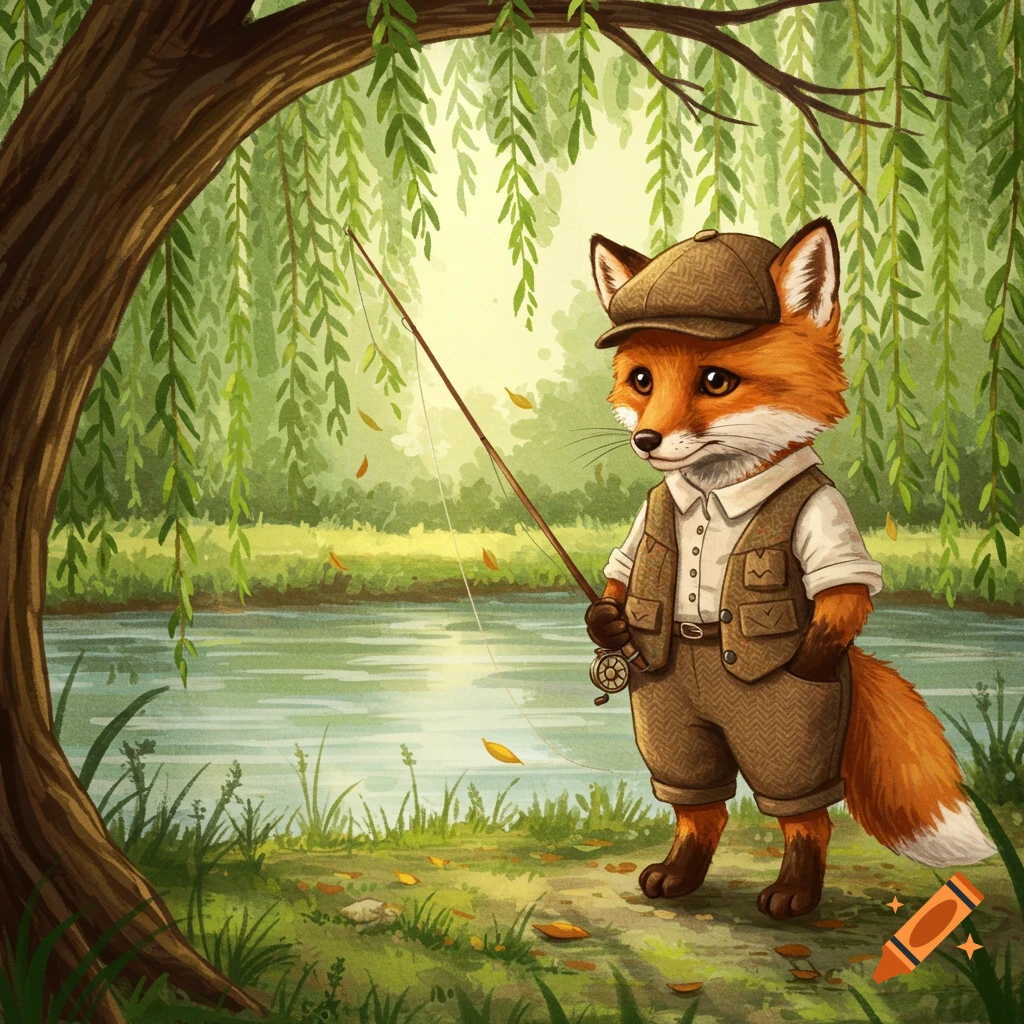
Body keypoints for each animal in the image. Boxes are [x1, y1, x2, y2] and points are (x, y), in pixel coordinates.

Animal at [586, 217, 995, 920]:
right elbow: (625, 571)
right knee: (701, 806)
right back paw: (679, 875)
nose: (646, 440)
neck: (714, 495)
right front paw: (606, 624)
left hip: (790, 739)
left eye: (715, 381)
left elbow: (842, 592)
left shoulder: (828, 527)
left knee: (806, 817)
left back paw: (794, 892)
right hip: (674, 726)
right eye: (641, 380)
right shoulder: (647, 531)